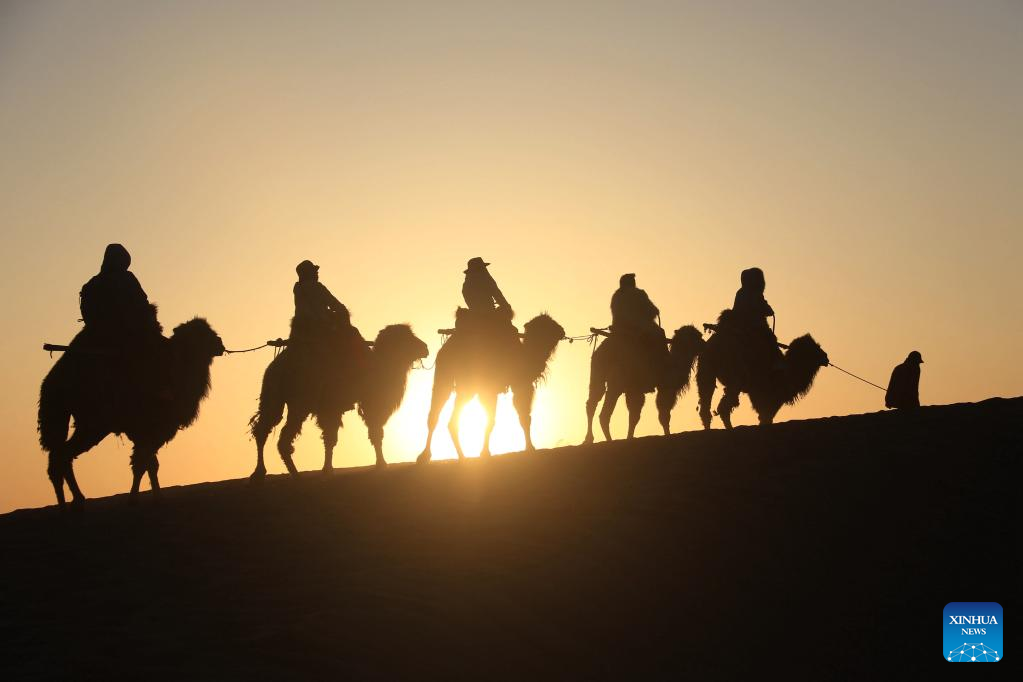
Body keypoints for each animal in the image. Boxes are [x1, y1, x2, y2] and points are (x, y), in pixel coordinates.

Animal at [38, 316, 227, 507]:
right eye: (203, 335)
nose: (220, 344)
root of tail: (51, 383)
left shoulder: (144, 432)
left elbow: (150, 465)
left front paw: (157, 497)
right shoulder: (153, 429)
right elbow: (141, 464)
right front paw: (133, 498)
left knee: (58, 457)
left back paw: (69, 503)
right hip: (93, 425)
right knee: (62, 455)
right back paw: (74, 500)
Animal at [251, 325, 427, 474]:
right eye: (407, 337)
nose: (425, 348)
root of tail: (275, 367)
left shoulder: (332, 409)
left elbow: (331, 438)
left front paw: (327, 468)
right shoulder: (359, 405)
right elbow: (374, 433)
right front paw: (381, 464)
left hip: (274, 399)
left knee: (264, 430)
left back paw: (262, 473)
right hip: (299, 403)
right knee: (281, 439)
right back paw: (289, 473)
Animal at [417, 312, 568, 462]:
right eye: (549, 325)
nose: (562, 331)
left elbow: (493, 420)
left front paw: (485, 452)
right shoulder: (517, 385)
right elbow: (520, 418)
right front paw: (530, 448)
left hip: (452, 381)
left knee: (440, 416)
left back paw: (442, 456)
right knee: (446, 417)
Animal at [695, 312, 830, 429]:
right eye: (815, 349)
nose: (826, 357)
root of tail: (709, 346)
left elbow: (764, 416)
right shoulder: (765, 393)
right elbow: (766, 416)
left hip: (706, 372)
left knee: (706, 405)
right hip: (735, 376)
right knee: (724, 406)